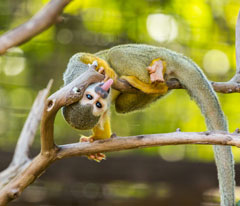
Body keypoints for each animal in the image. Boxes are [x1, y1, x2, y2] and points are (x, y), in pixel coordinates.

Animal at [62, 44, 236, 205]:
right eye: (97, 104)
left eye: (91, 98)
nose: (102, 93)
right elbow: (104, 131)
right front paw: (94, 142)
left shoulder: (76, 80)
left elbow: (79, 58)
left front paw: (105, 69)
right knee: (122, 106)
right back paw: (159, 84)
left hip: (150, 52)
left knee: (117, 54)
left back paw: (156, 73)